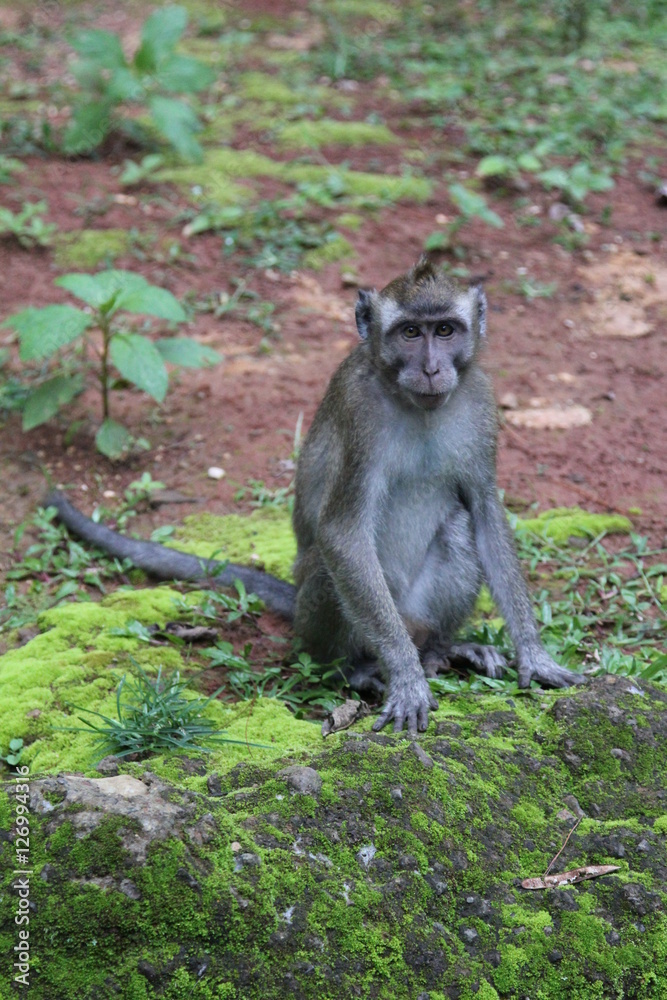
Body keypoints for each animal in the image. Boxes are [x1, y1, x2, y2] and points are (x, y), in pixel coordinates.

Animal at [46, 256, 582, 735]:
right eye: (411, 333)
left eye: (446, 330)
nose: (432, 369)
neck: (415, 404)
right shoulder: (360, 415)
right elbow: (341, 533)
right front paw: (406, 678)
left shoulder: (481, 405)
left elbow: (486, 514)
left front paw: (534, 655)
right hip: (326, 616)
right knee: (331, 569)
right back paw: (361, 667)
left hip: (417, 609)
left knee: (456, 526)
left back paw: (442, 648)